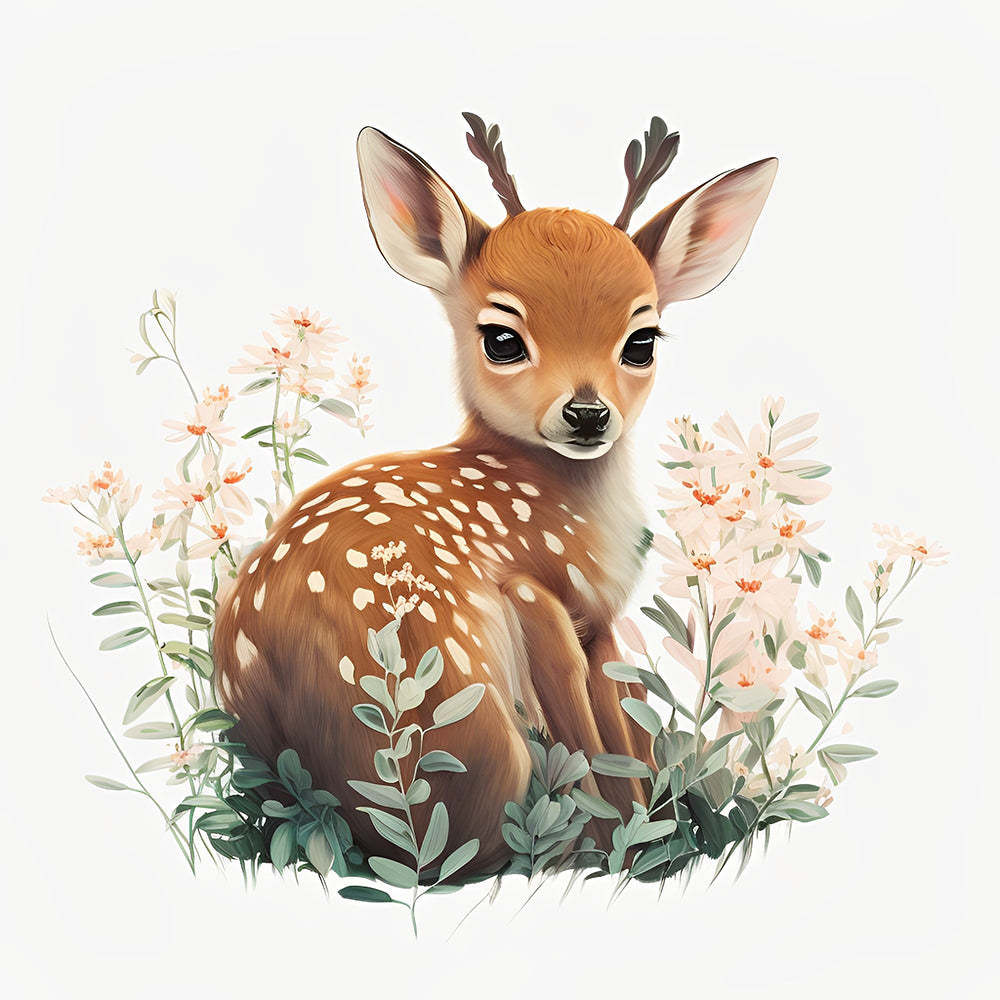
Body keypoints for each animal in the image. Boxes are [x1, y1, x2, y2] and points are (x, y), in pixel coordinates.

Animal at [212, 113, 777, 876]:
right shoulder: (536, 591)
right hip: (475, 722)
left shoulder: (600, 619)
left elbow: (622, 724)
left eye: (643, 339)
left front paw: (657, 833)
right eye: (502, 338)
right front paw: (638, 849)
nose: (588, 414)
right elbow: (589, 738)